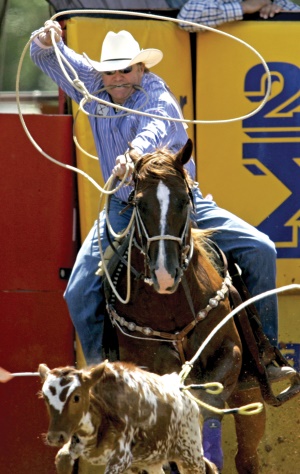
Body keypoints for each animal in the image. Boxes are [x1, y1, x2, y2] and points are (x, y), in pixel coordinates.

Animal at [38, 362, 217, 472]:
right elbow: (62, 457)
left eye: (76, 397)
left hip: (190, 456)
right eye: (45, 398)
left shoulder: (120, 459)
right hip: (150, 462)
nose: (55, 437)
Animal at [103, 138, 264, 474]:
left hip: (251, 392)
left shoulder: (231, 351)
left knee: (247, 455)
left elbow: (208, 401)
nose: (165, 274)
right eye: (139, 204)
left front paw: (207, 457)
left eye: (183, 201)